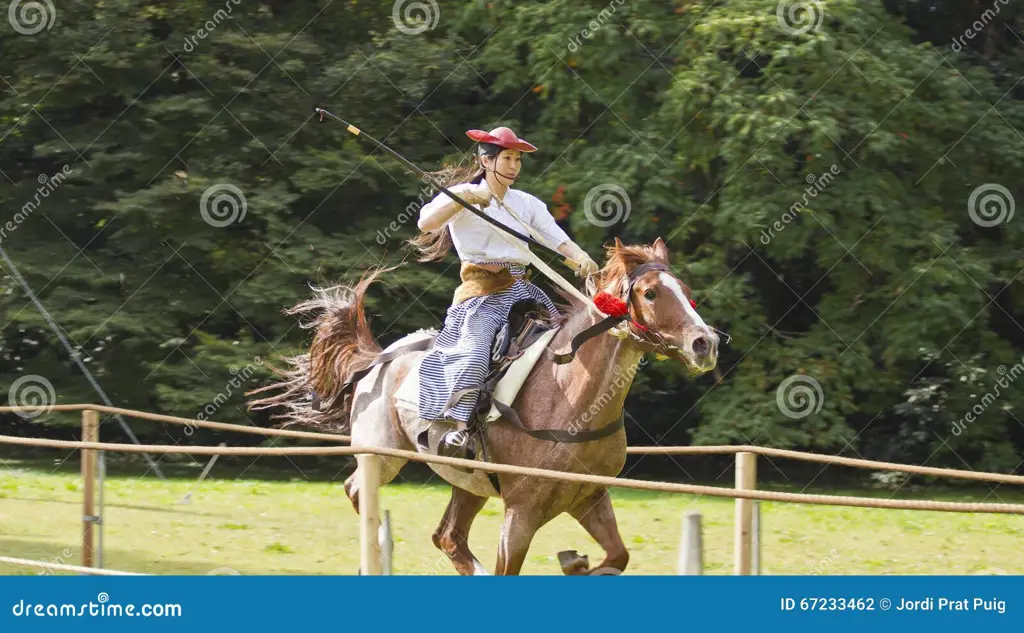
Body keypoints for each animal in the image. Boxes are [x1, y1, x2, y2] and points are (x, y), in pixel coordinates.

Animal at [245, 235, 720, 573]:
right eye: (652, 293)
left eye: (686, 290)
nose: (705, 343)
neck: (574, 399)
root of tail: (380, 359)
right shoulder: (521, 512)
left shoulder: (589, 497)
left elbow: (617, 557)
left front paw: (577, 563)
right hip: (381, 455)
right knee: (360, 493)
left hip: (467, 480)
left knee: (448, 536)